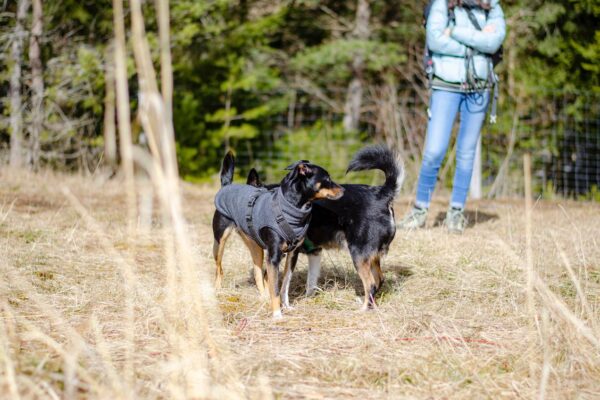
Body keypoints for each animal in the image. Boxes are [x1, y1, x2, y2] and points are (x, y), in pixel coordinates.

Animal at [212, 151, 342, 318]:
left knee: (257, 272)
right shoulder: (273, 257)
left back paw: (263, 297)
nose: (343, 190)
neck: (290, 208)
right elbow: (274, 288)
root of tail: (227, 185)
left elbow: (284, 284)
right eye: (327, 179)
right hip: (219, 241)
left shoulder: (292, 254)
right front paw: (277, 314)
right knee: (219, 268)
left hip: (256, 247)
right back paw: (218, 290)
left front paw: (286, 306)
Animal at [246, 145, 406, 310]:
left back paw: (362, 309)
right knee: (379, 279)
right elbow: (308, 281)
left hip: (358, 253)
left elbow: (272, 280)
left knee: (371, 283)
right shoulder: (312, 252)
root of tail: (382, 193)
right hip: (371, 255)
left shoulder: (282, 254)